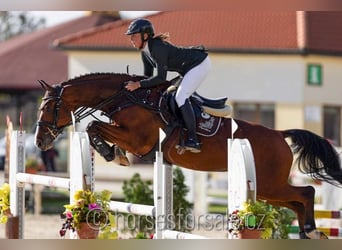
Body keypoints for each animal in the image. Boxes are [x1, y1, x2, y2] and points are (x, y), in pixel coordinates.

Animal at [35, 72, 342, 238]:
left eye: (48, 107)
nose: (40, 142)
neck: (128, 99)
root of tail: (279, 134)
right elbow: (95, 127)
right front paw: (112, 151)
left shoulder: (139, 141)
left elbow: (94, 126)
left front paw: (110, 152)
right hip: (268, 190)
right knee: (297, 201)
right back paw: (308, 232)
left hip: (268, 184)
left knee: (306, 193)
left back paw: (311, 230)